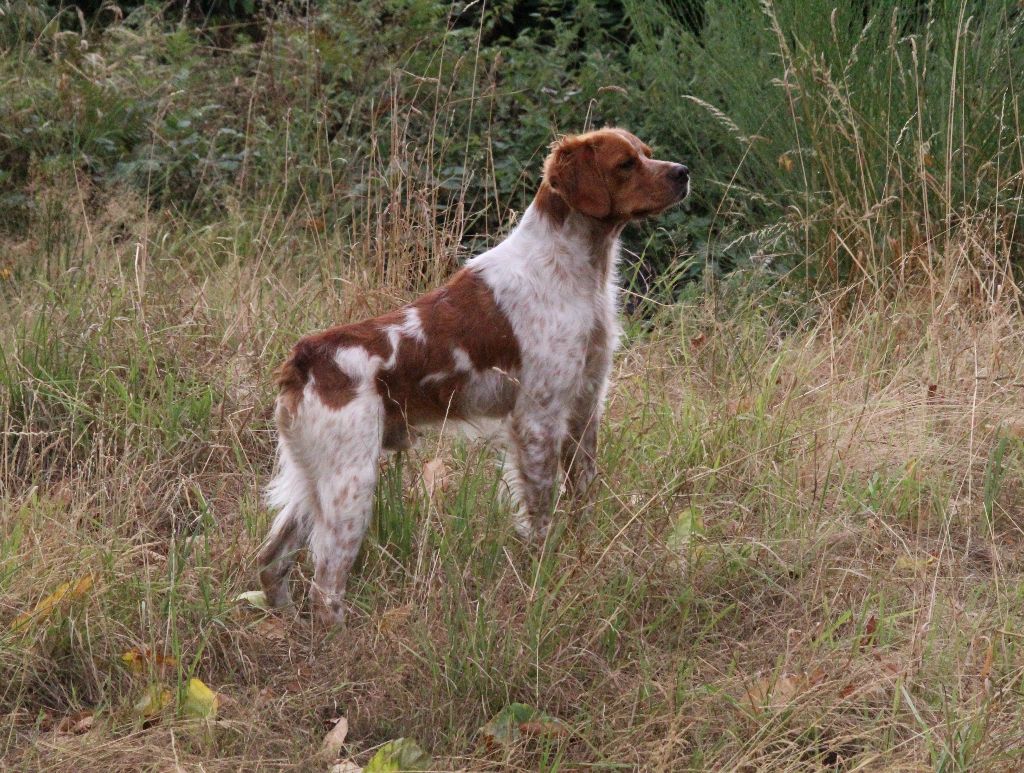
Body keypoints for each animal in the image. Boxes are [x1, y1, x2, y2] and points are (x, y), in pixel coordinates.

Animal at [258, 126, 688, 622]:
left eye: (648, 154)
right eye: (625, 164)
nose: (684, 173)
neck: (573, 270)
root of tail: (306, 358)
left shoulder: (584, 410)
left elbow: (584, 497)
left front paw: (584, 557)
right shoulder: (537, 421)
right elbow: (541, 515)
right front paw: (541, 577)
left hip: (313, 481)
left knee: (270, 562)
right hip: (351, 483)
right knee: (325, 587)